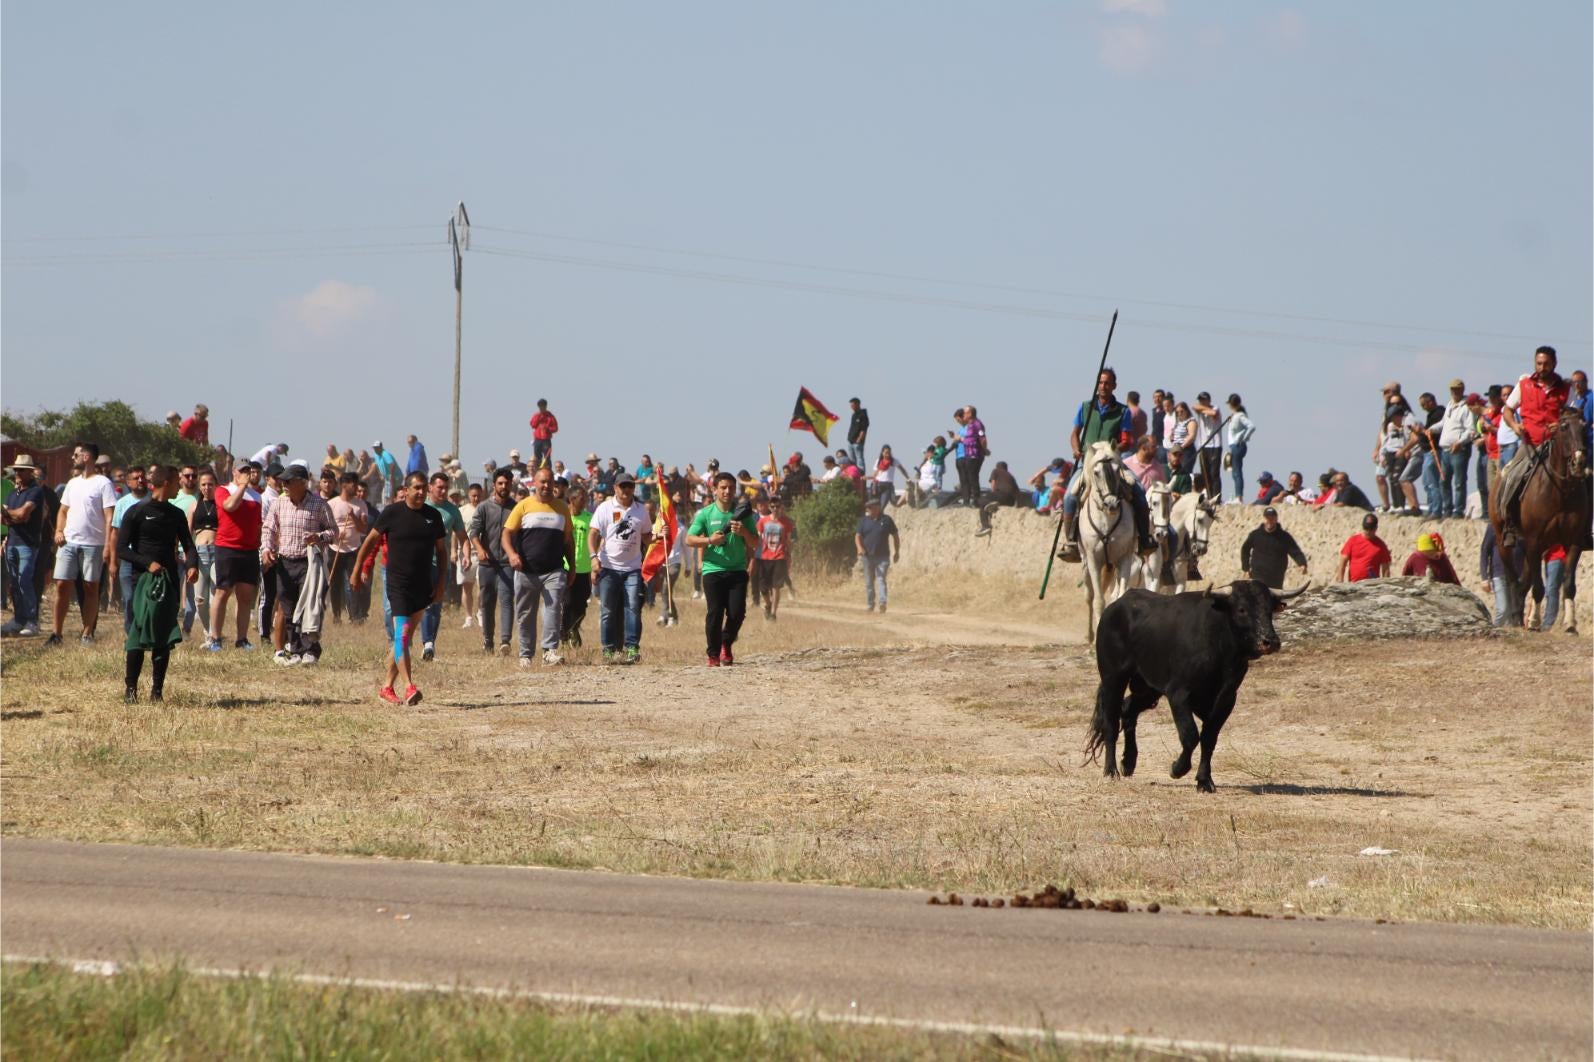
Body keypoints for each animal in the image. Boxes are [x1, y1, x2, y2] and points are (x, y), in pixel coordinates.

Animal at [1077, 440, 1141, 641]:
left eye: (1117, 469)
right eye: (1096, 473)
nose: (1112, 504)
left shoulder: (1125, 557)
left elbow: (1119, 597)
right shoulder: (1093, 560)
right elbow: (1098, 600)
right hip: (1086, 564)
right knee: (1089, 596)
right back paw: (1089, 635)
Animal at [1083, 580, 1307, 784]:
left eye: (1269, 610)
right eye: (1242, 609)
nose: (1270, 641)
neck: (1219, 645)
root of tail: (1115, 606)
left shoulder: (1226, 699)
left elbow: (1209, 737)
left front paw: (1204, 780)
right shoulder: (1178, 694)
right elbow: (1190, 734)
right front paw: (1177, 769)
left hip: (1148, 687)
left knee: (1128, 709)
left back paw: (1128, 763)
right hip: (1113, 679)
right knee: (1111, 722)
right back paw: (1111, 771)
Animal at [1485, 406, 1587, 621]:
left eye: (1584, 426)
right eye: (1564, 427)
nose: (1579, 462)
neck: (1560, 491)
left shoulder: (1574, 541)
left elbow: (1568, 585)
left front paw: (1570, 623)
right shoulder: (1534, 540)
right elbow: (1538, 587)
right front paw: (1533, 621)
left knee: (1523, 582)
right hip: (1503, 540)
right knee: (1513, 579)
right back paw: (1515, 616)